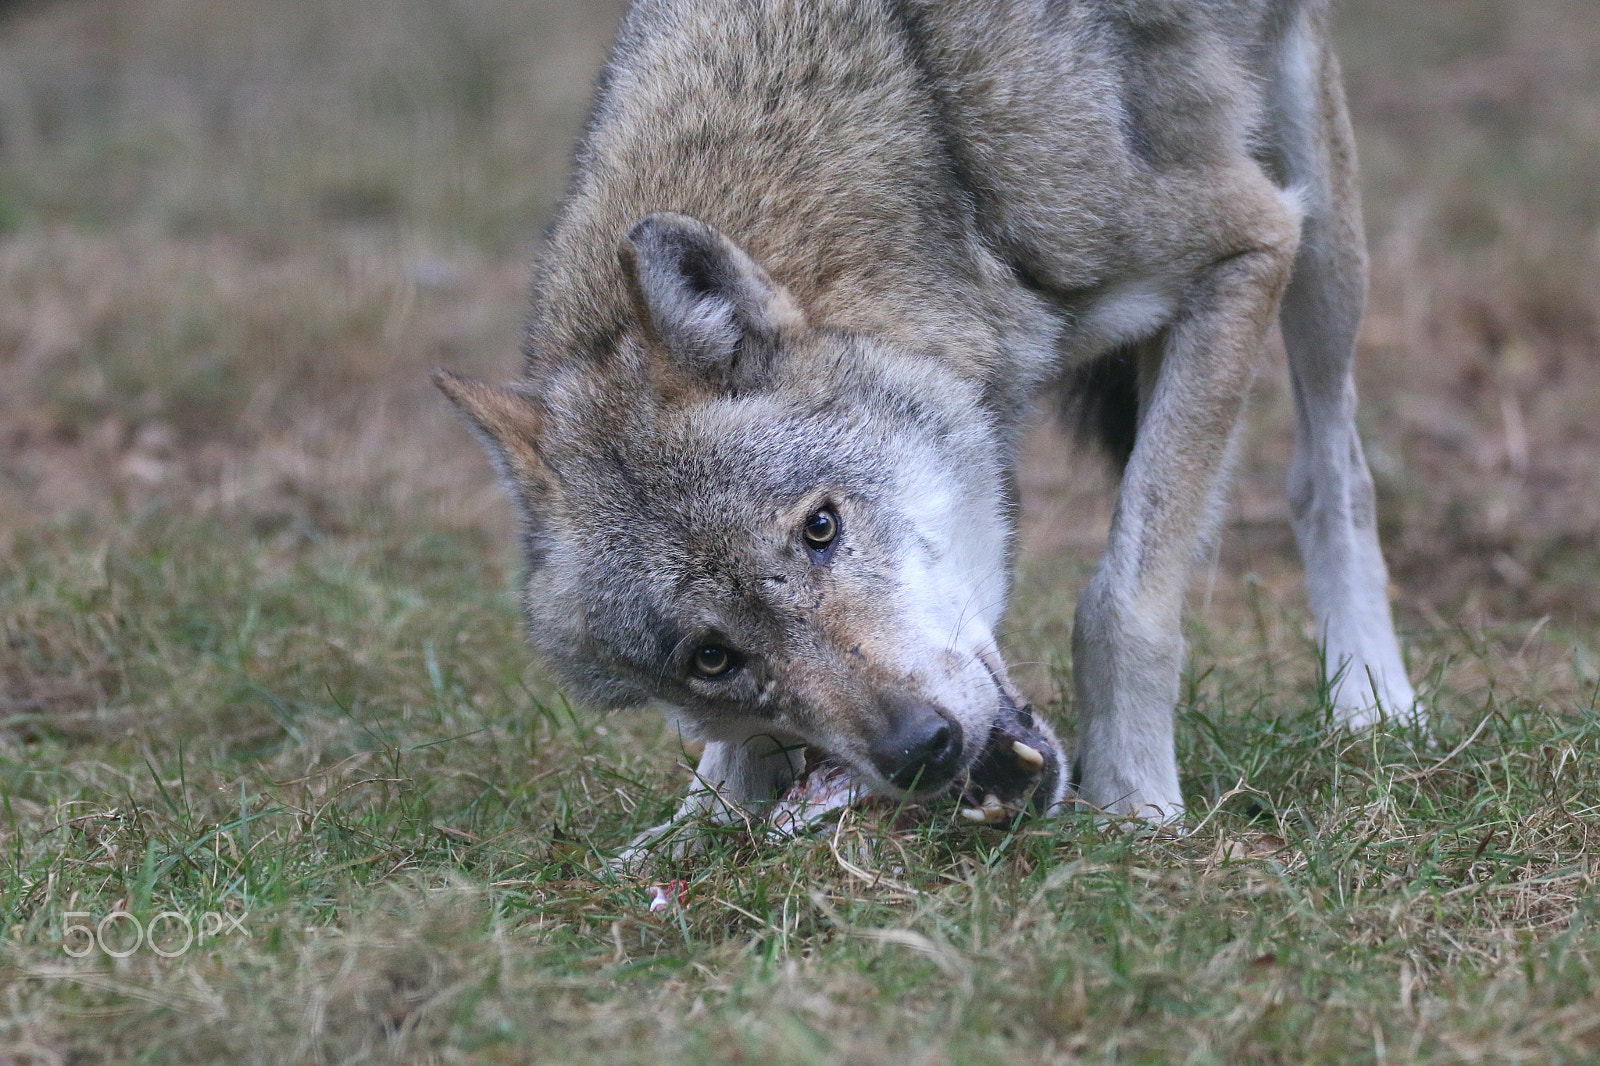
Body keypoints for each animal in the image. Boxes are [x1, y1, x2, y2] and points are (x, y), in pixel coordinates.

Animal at [435, 0, 1417, 850]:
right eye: (711, 657)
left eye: (820, 528)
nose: (921, 749)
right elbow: (737, 745)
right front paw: (700, 822)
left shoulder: (1249, 242)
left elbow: (1122, 602)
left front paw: (1135, 801)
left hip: (1314, 203)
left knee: (1331, 469)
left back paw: (1373, 704)